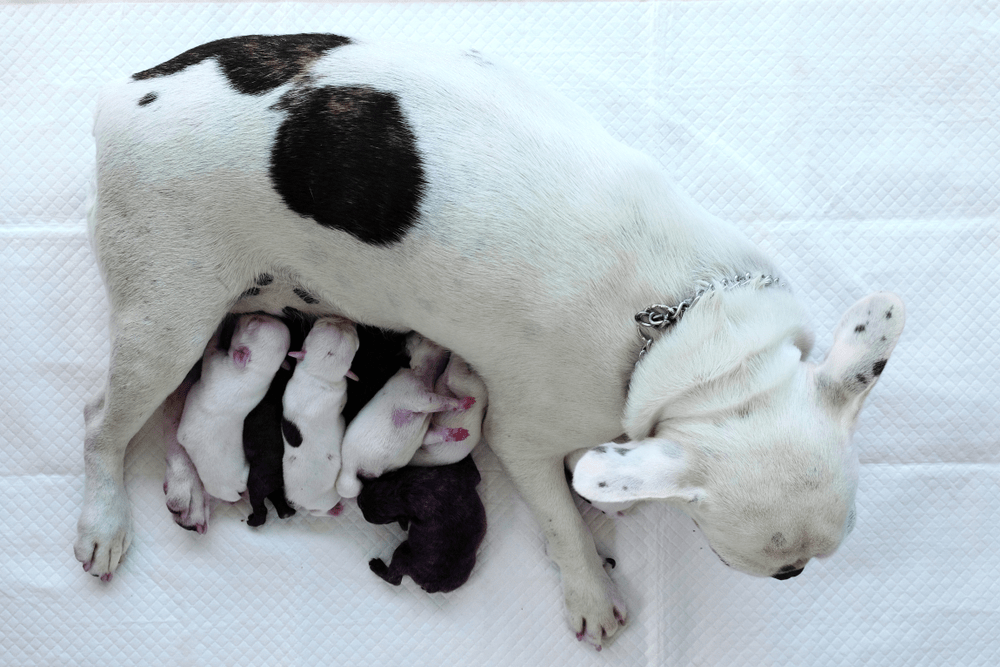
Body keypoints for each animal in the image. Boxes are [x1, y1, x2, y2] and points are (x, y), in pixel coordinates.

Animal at [282, 318, 360, 516]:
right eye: (357, 343)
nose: (343, 319)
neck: (317, 376)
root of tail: (300, 504)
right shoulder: (341, 394)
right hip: (327, 500)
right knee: (319, 512)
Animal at [338, 334, 470, 500]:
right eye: (420, 339)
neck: (423, 375)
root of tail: (347, 468)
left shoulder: (425, 432)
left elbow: (436, 434)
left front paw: (459, 433)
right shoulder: (419, 398)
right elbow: (443, 401)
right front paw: (464, 402)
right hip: (351, 476)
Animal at [358, 454, 486, 596]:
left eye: (387, 521)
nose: (358, 502)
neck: (401, 494)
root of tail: (433, 586)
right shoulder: (471, 474)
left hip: (402, 552)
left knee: (394, 579)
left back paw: (377, 566)